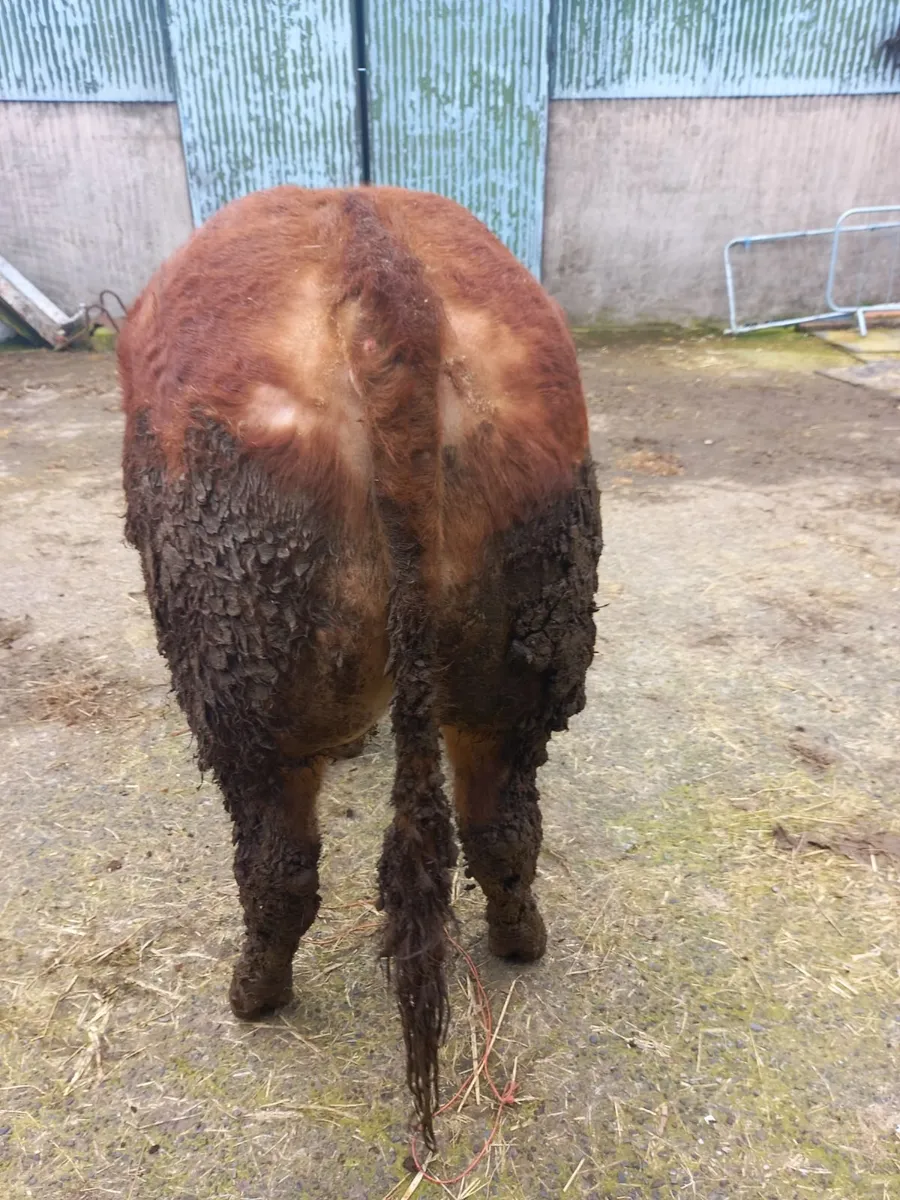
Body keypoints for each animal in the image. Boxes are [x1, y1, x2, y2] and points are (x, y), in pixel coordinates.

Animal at [119, 185, 602, 1145]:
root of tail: (377, 269)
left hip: (242, 678)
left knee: (278, 870)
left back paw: (253, 995)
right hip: (526, 649)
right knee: (504, 829)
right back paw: (519, 939)